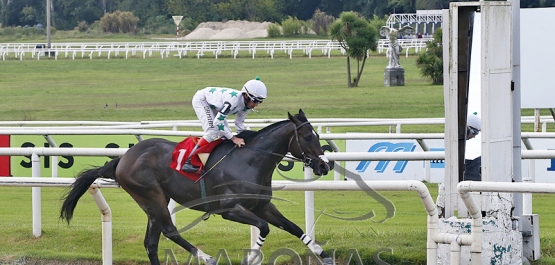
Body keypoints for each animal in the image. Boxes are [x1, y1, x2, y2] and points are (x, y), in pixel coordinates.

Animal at [62, 108, 330, 262]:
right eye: (308, 137)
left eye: (318, 136)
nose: (324, 166)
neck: (250, 161)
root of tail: (124, 158)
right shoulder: (228, 209)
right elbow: (264, 227)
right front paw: (251, 258)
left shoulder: (262, 205)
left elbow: (293, 227)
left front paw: (322, 254)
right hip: (151, 196)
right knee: (169, 231)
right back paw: (206, 256)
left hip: (154, 201)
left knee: (151, 243)